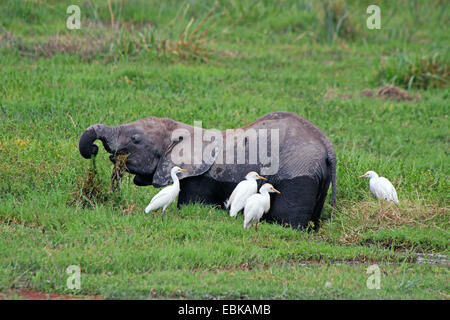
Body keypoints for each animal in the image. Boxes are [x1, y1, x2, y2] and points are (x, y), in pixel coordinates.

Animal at [79, 111, 336, 229]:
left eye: (135, 139)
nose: (93, 148)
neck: (182, 129)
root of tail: (327, 146)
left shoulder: (199, 179)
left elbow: (191, 204)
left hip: (299, 174)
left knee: (288, 219)